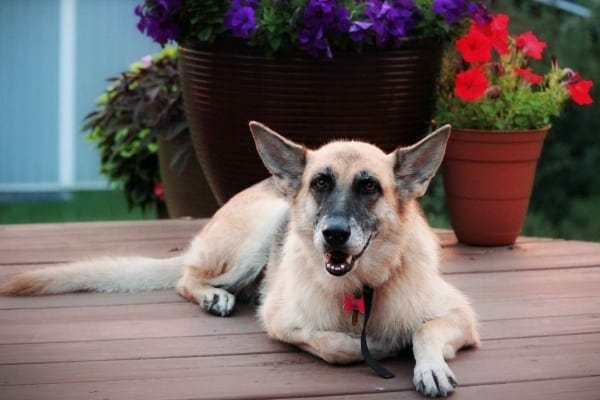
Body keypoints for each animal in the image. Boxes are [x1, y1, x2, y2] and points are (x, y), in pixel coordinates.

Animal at [0, 122, 478, 396]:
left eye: (369, 187)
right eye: (321, 183)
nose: (334, 235)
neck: (360, 289)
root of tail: (270, 184)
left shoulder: (462, 317)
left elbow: (425, 331)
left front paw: (429, 367)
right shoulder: (282, 321)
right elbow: (334, 346)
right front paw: (378, 346)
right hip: (261, 232)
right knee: (187, 277)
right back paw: (214, 296)